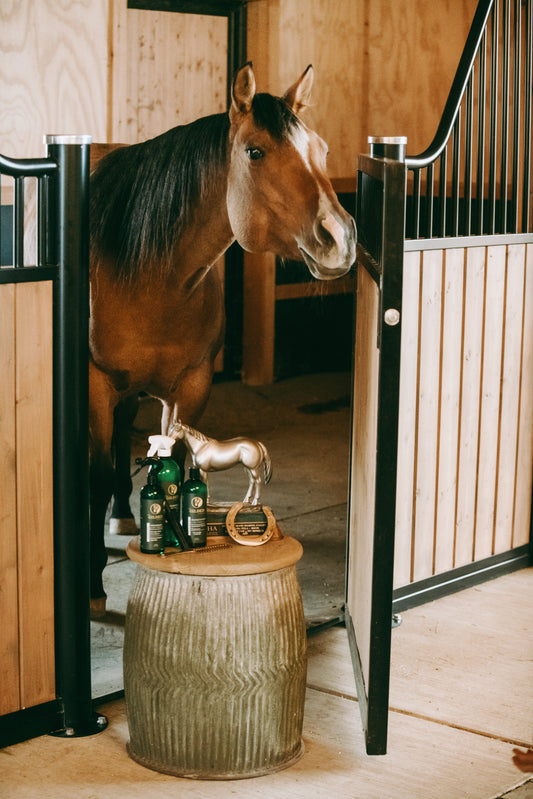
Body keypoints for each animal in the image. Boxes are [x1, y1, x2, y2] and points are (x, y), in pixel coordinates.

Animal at [88, 62, 357, 616]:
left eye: (321, 149)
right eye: (254, 152)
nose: (341, 239)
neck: (148, 271)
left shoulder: (191, 386)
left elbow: (174, 461)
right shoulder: (95, 383)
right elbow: (98, 474)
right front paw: (91, 588)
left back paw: (122, 515)